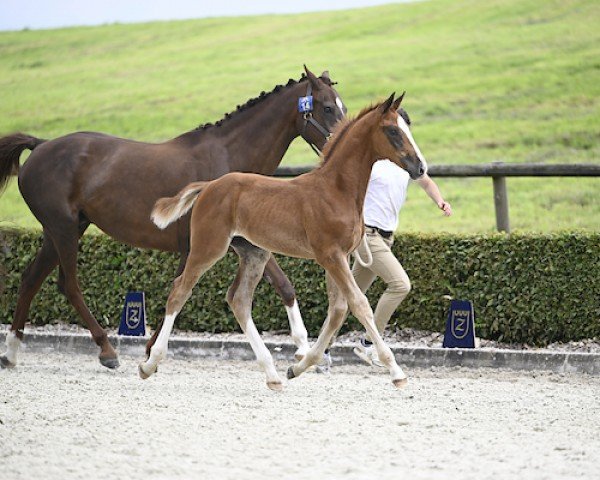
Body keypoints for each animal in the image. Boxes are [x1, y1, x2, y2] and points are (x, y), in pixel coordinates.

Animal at [141, 92, 426, 388]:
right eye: (393, 131)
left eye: (406, 129)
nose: (420, 167)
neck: (336, 190)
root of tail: (208, 186)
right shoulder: (330, 255)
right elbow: (359, 305)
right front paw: (396, 371)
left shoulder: (342, 256)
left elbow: (337, 310)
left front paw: (298, 366)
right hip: (208, 247)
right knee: (180, 290)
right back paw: (149, 364)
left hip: (255, 253)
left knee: (239, 300)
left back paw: (272, 375)